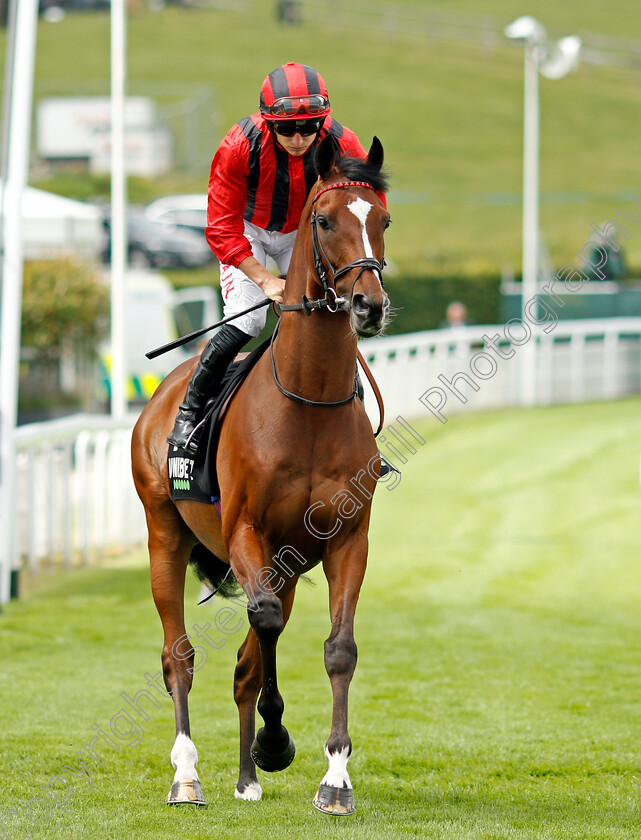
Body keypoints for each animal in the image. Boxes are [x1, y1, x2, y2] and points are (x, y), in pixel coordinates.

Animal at [130, 136, 390, 812]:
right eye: (324, 221)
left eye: (383, 220)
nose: (368, 305)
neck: (308, 402)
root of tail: (160, 395)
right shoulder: (248, 532)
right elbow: (264, 623)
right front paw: (276, 740)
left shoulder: (345, 540)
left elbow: (337, 649)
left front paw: (334, 779)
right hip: (165, 533)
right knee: (179, 654)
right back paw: (187, 774)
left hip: (289, 564)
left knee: (246, 660)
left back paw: (248, 776)